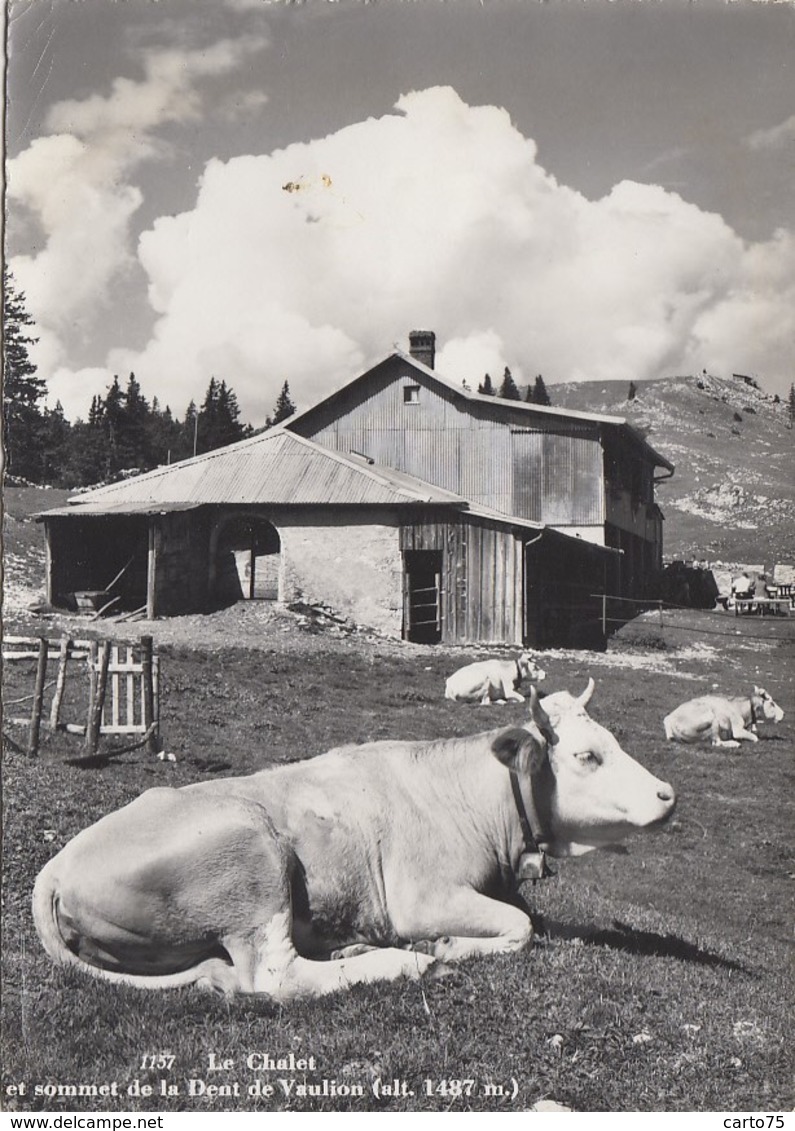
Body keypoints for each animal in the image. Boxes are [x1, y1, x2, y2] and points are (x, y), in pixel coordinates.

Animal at [34, 678, 673, 999]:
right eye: (588, 756)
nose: (668, 794)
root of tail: (56, 868)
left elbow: (526, 918)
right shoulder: (420, 898)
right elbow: (521, 927)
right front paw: (445, 947)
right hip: (254, 858)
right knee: (276, 978)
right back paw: (406, 963)